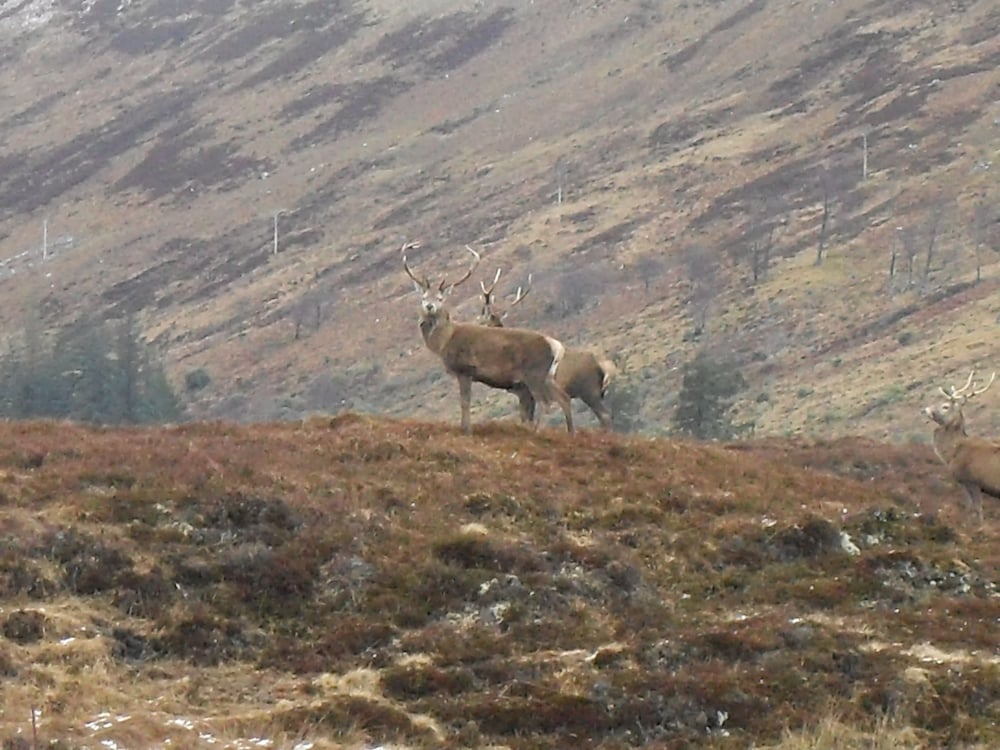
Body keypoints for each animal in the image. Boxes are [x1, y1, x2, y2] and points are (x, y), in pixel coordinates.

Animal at [402, 244, 576, 438]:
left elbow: (465, 402)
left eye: (440, 298)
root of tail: (556, 346)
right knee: (563, 398)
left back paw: (538, 432)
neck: (444, 342)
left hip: (535, 374)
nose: (429, 306)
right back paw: (569, 433)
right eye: (423, 297)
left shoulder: (465, 369)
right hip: (545, 376)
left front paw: (466, 430)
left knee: (547, 402)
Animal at [478, 268, 616, 432]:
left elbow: (526, 417)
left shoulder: (525, 389)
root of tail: (604, 367)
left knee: (604, 415)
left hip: (588, 390)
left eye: (485, 323)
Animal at [920, 370, 1000, 524]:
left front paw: (977, 526)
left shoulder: (971, 481)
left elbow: (976, 509)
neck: (951, 454)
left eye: (945, 406)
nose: (925, 409)